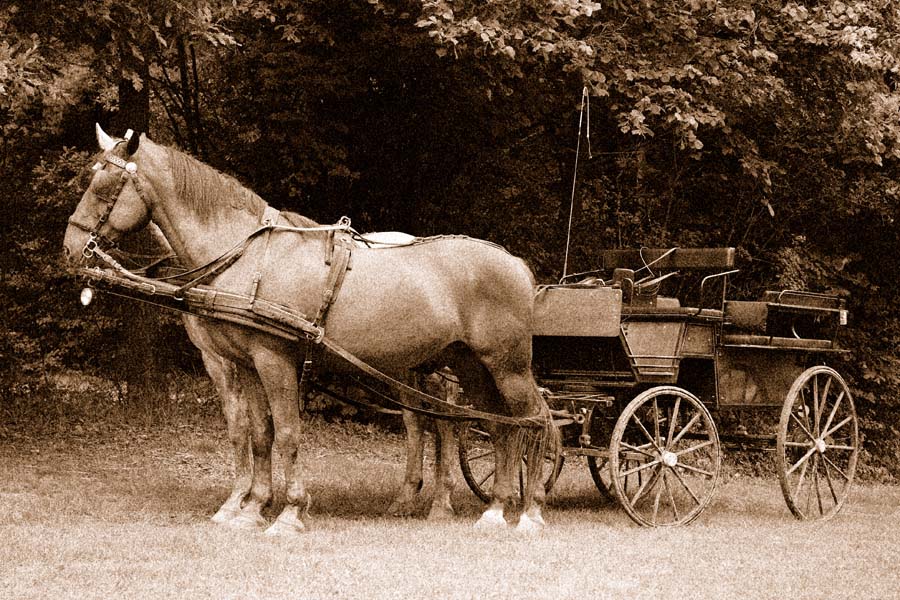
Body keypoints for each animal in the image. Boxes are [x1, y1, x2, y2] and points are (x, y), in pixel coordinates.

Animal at [63, 124, 552, 535]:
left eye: (105, 185)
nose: (70, 247)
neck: (247, 256)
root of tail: (517, 265)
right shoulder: (245, 363)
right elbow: (259, 434)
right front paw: (250, 507)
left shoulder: (273, 360)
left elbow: (287, 433)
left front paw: (289, 511)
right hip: (467, 364)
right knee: (496, 426)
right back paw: (493, 509)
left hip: (506, 365)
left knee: (532, 421)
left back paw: (527, 511)